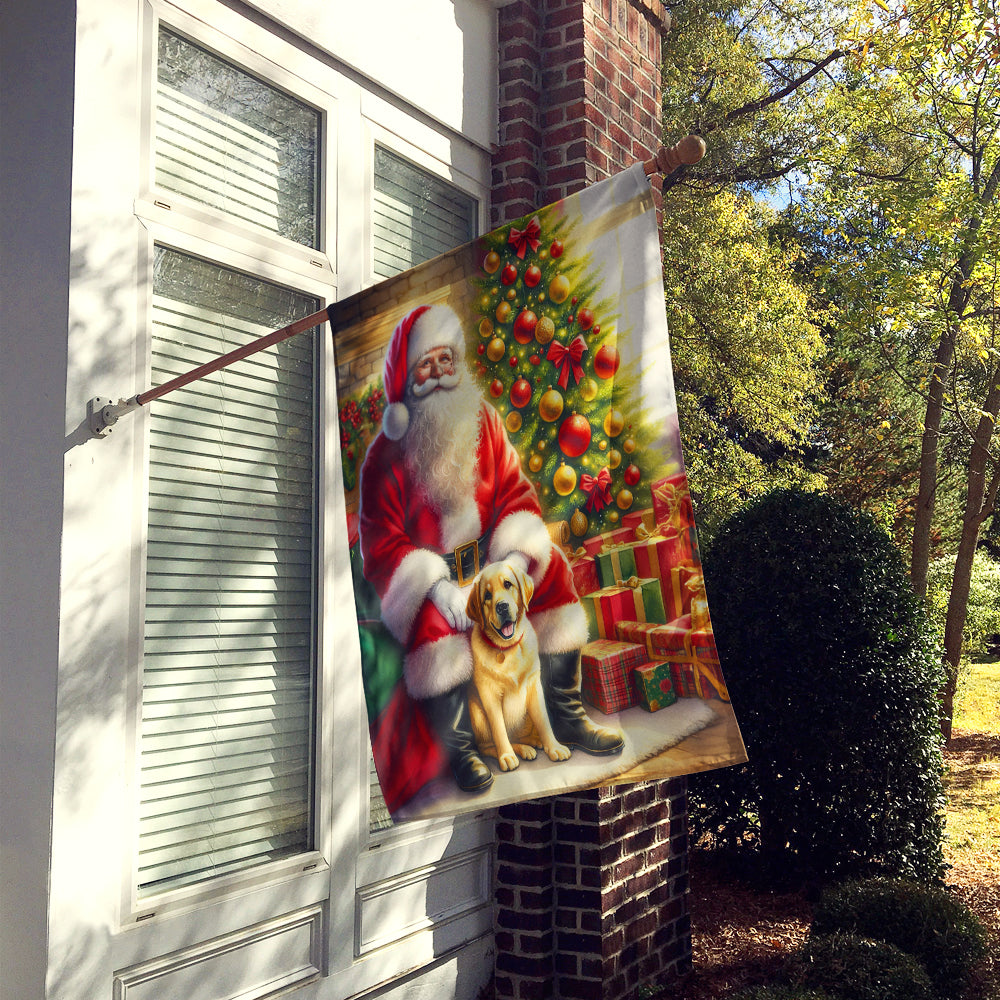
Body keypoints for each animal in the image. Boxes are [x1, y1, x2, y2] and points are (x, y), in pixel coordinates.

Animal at [462, 564, 568, 772]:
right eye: (487, 595)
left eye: (507, 584)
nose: (502, 606)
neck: (507, 649)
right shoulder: (489, 694)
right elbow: (499, 728)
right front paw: (506, 755)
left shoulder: (534, 685)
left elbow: (543, 720)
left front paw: (554, 747)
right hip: (477, 715)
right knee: (486, 747)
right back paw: (519, 750)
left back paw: (534, 742)